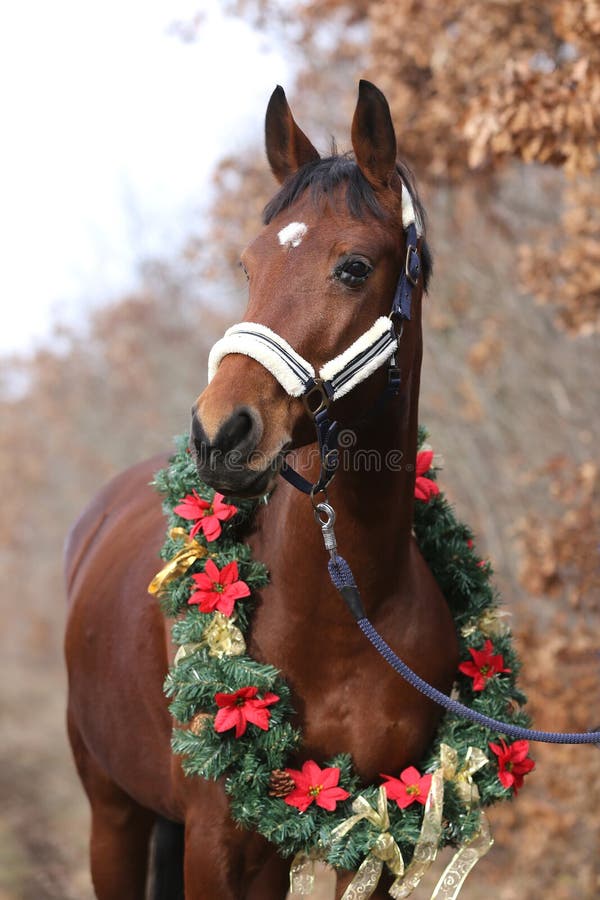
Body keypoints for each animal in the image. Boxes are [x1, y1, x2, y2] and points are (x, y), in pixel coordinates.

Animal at [64, 81, 460, 896]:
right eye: (248, 266)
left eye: (353, 266)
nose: (219, 432)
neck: (344, 612)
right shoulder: (218, 842)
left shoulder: (379, 834)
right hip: (112, 815)